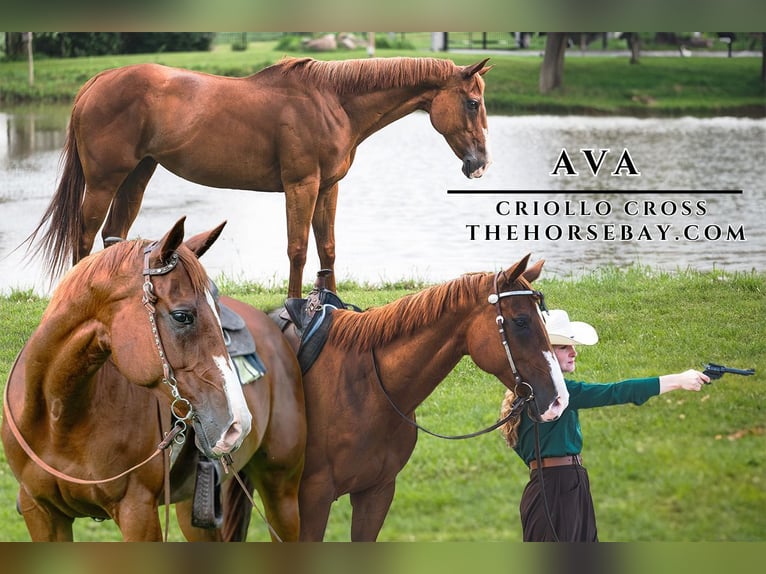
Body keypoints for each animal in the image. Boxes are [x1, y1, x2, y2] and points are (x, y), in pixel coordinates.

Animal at [2, 218, 306, 544]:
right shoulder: (41, 512)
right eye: (182, 316)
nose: (239, 424)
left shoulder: (137, 512)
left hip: (281, 492)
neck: (58, 417)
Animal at [28, 56, 492, 300]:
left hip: (137, 176)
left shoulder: (328, 188)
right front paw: (296, 309)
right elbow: (298, 249)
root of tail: (98, 80)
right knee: (85, 236)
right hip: (104, 181)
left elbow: (327, 247)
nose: (480, 163)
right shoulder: (301, 185)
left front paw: (331, 305)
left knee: (114, 235)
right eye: (472, 103)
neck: (334, 103)